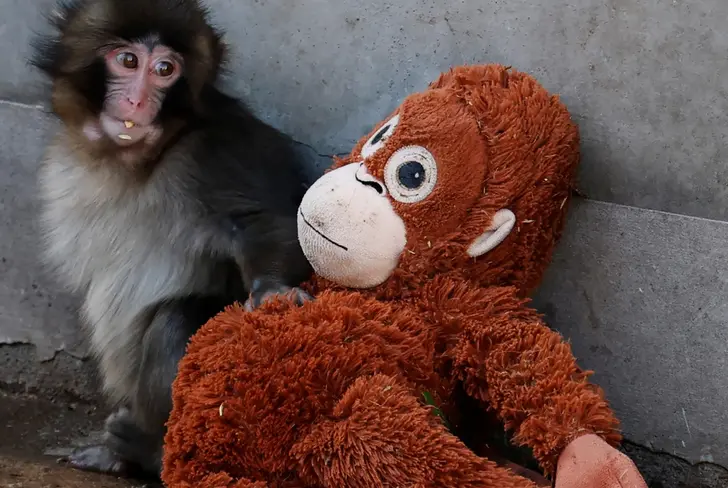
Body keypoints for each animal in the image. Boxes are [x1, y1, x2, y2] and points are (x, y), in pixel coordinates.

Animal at [30, 0, 314, 479]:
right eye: (128, 61)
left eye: (165, 69)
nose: (138, 100)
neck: (138, 160)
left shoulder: (215, 151)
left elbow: (266, 222)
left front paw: (274, 290)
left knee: (176, 322)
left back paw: (151, 452)